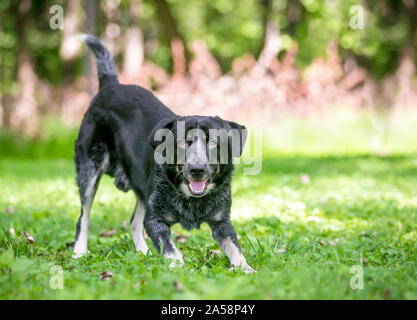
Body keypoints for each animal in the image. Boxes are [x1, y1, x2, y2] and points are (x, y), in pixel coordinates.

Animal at [73, 36, 255, 274]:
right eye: (183, 143)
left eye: (213, 142)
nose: (197, 170)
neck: (192, 201)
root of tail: (110, 85)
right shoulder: (156, 219)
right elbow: (170, 247)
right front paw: (177, 265)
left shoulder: (221, 221)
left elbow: (235, 248)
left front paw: (246, 269)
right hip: (90, 170)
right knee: (83, 217)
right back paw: (79, 252)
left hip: (142, 187)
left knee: (134, 222)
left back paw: (143, 254)